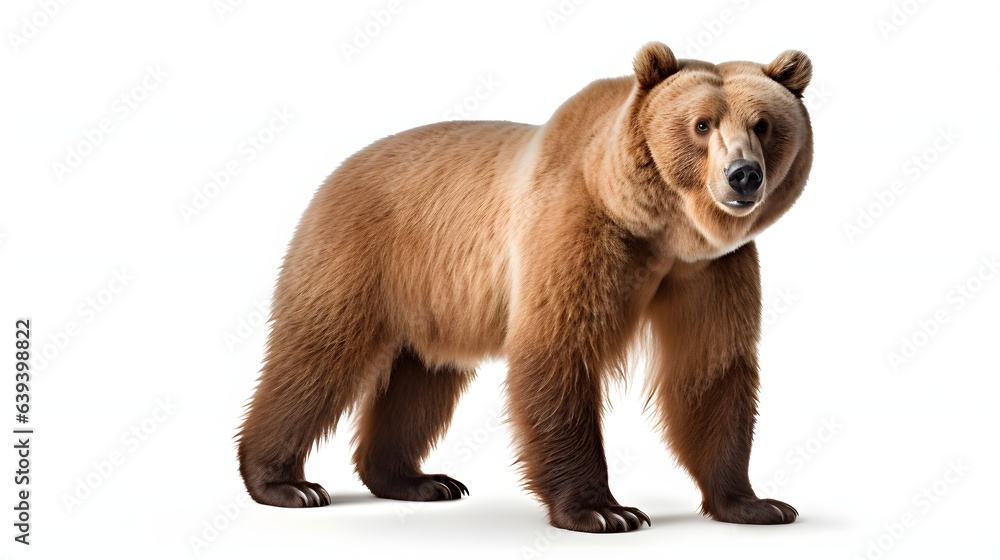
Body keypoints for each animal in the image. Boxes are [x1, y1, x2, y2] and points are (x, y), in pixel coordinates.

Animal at [237, 41, 813, 533]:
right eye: (701, 124)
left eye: (763, 124)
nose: (743, 175)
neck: (659, 229)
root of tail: (336, 170)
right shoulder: (576, 230)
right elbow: (559, 349)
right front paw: (604, 511)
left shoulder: (711, 270)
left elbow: (711, 367)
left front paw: (755, 503)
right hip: (359, 254)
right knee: (317, 356)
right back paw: (286, 483)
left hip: (435, 300)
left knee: (421, 380)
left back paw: (419, 480)